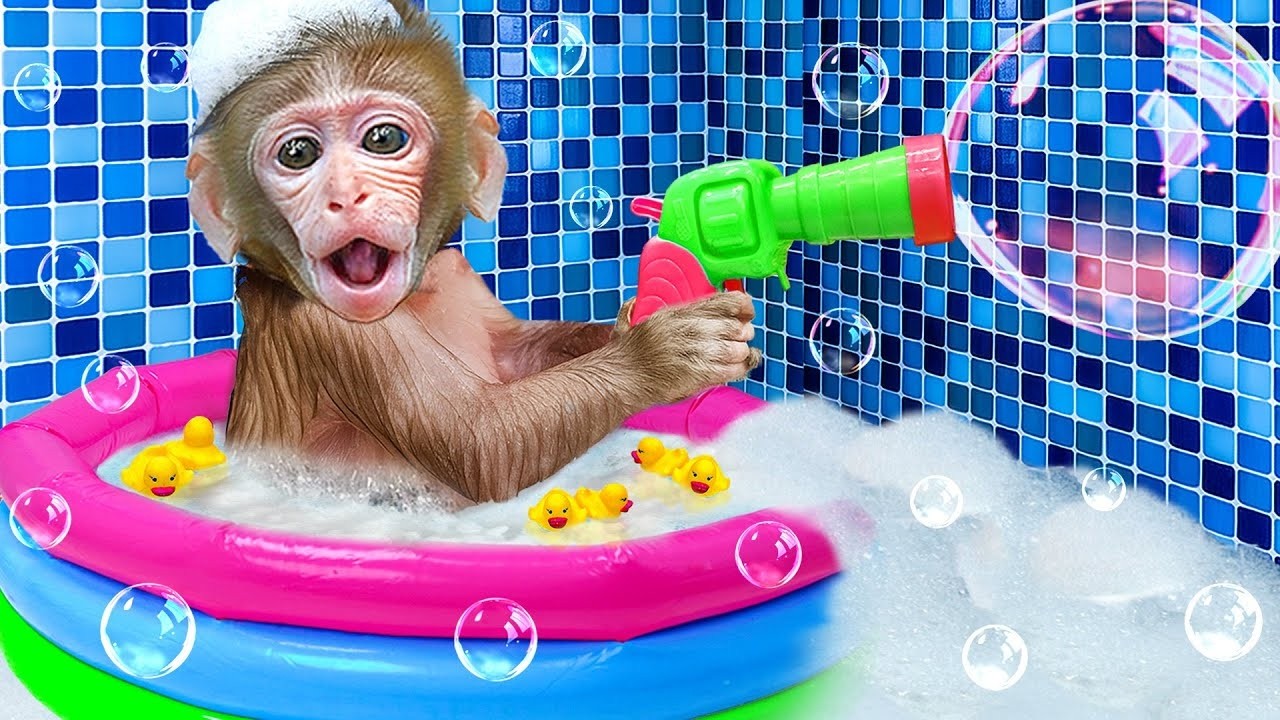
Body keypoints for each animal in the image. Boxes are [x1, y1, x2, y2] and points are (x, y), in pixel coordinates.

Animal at [184, 0, 760, 505]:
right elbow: (484, 444)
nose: (346, 194)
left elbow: (513, 355)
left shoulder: (455, 269)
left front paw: (627, 325)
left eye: (383, 139)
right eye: (298, 153)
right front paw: (663, 352)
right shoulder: (328, 327)